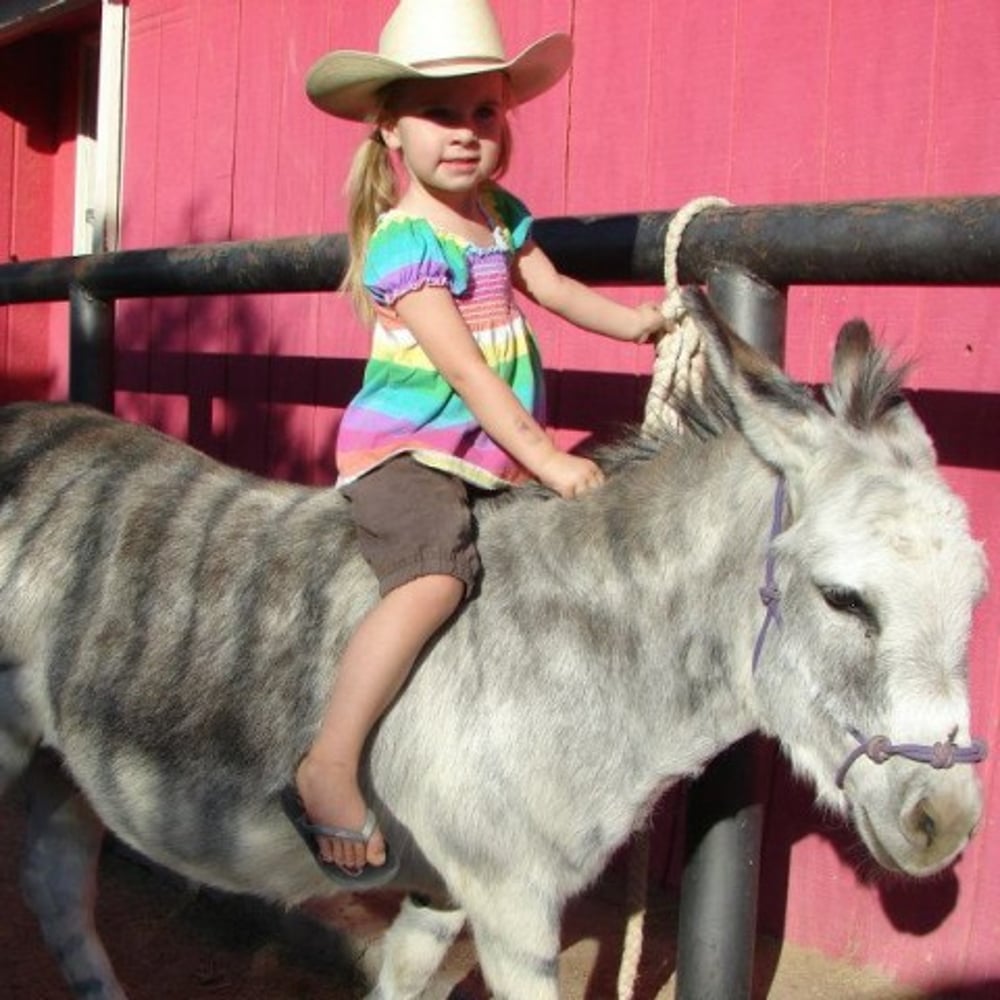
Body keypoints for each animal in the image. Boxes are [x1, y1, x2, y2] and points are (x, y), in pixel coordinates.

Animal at [0, 291, 987, 999]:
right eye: (844, 600)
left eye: (976, 598)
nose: (946, 826)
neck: (591, 658)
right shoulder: (513, 902)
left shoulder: (446, 887)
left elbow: (403, 983)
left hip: (61, 770)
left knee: (56, 893)